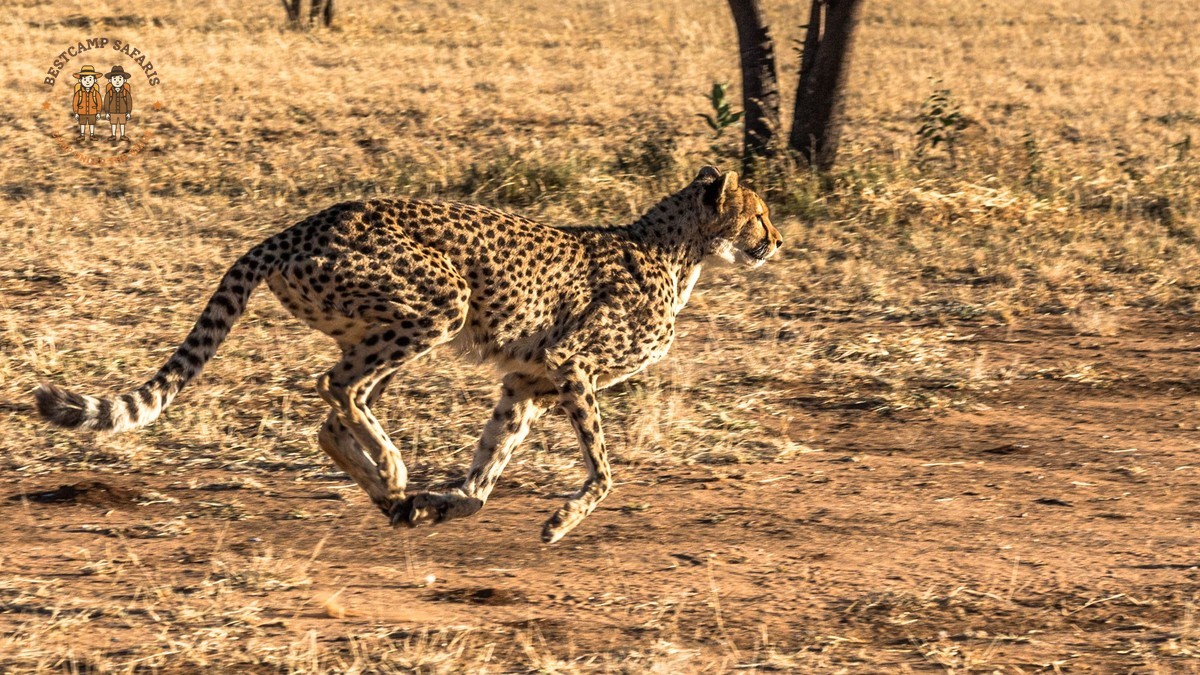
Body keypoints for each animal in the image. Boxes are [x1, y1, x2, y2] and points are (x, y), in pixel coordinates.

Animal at [35, 165, 782, 543]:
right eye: (760, 213)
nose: (777, 241)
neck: (679, 251)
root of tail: (308, 221)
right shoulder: (571, 364)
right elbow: (602, 470)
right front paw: (559, 521)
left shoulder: (529, 381)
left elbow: (488, 468)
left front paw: (442, 504)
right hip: (440, 301)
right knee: (336, 387)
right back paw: (392, 468)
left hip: (385, 325)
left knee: (334, 409)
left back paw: (390, 492)